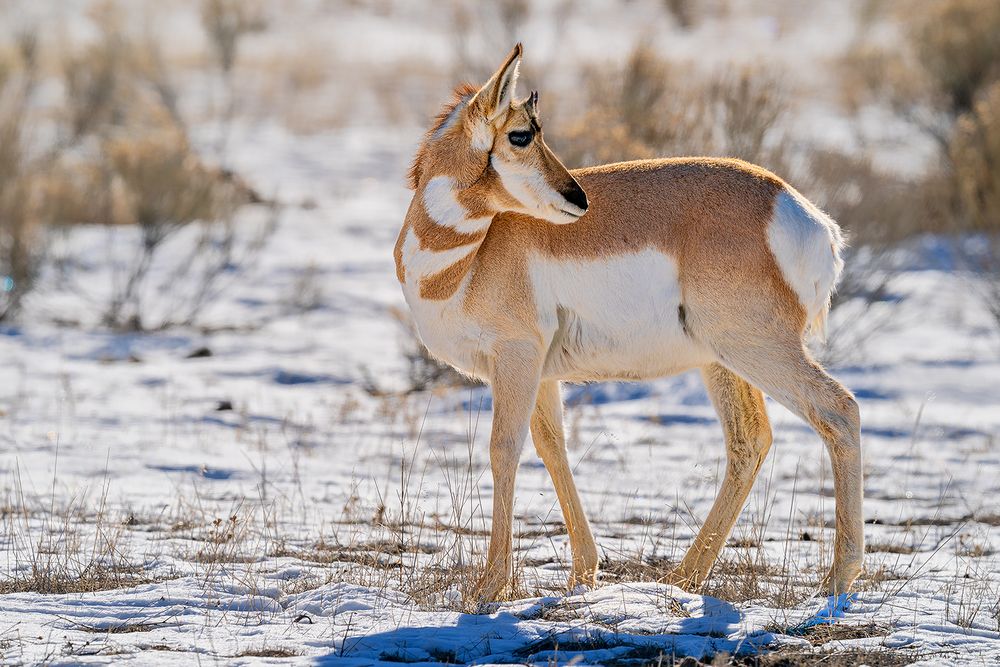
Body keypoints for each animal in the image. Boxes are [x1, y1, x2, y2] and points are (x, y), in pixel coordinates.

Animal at [394, 44, 864, 604]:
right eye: (521, 134)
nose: (579, 200)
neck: (467, 254)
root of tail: (807, 216)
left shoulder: (515, 357)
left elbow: (503, 449)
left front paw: (491, 586)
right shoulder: (540, 373)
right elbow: (552, 448)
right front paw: (582, 574)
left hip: (757, 349)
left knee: (839, 410)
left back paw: (837, 579)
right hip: (722, 361)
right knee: (750, 441)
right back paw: (683, 578)